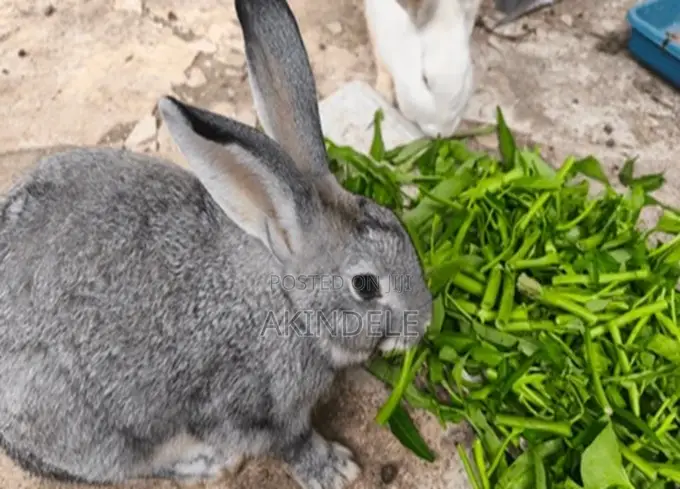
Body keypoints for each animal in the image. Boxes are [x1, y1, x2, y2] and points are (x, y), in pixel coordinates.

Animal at [0, 0, 433, 487]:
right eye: (365, 285)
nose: (424, 324)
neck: (291, 304)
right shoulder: (249, 409)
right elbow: (290, 442)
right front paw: (336, 469)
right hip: (99, 430)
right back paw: (206, 462)